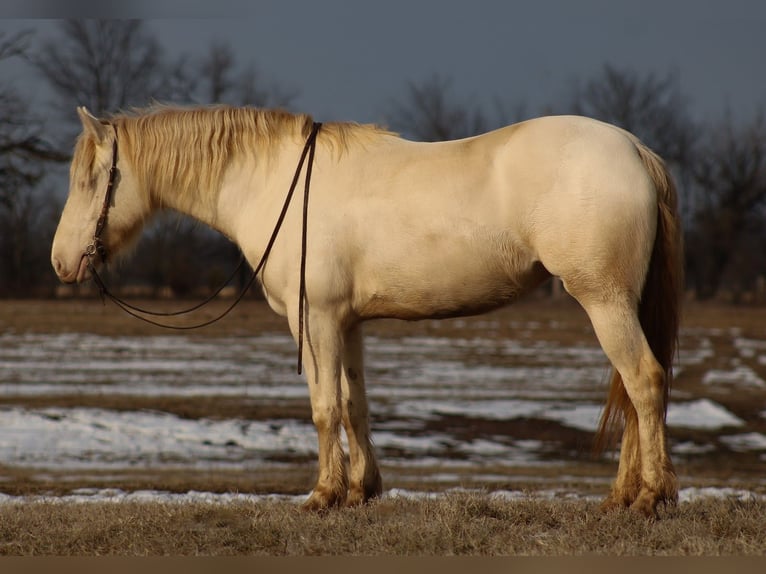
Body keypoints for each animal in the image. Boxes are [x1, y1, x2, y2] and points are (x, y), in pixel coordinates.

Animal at [51, 104, 682, 517]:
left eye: (91, 179)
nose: (61, 262)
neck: (270, 183)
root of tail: (635, 150)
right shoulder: (346, 323)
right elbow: (355, 406)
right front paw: (362, 489)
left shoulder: (315, 321)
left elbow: (325, 408)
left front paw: (323, 495)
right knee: (632, 392)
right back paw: (623, 495)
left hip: (603, 300)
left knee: (644, 381)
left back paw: (651, 496)